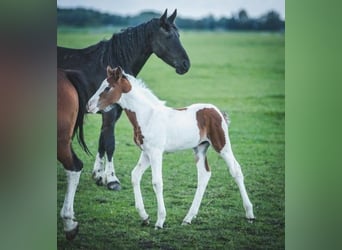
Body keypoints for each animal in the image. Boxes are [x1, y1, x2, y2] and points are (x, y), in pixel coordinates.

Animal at [57, 9, 191, 189]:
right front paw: (112, 180)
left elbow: (102, 142)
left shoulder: (112, 114)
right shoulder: (109, 113)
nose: (186, 64)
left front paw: (99, 175)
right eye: (168, 36)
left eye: (178, 35)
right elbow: (110, 144)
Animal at [87, 66, 255, 229]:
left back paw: (250, 214)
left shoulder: (156, 152)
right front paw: (145, 217)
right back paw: (188, 218)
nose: (89, 106)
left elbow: (157, 182)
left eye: (108, 87)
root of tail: (217, 111)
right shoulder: (146, 153)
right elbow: (135, 175)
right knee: (204, 175)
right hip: (200, 148)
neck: (147, 116)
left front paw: (160, 221)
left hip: (222, 145)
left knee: (235, 170)